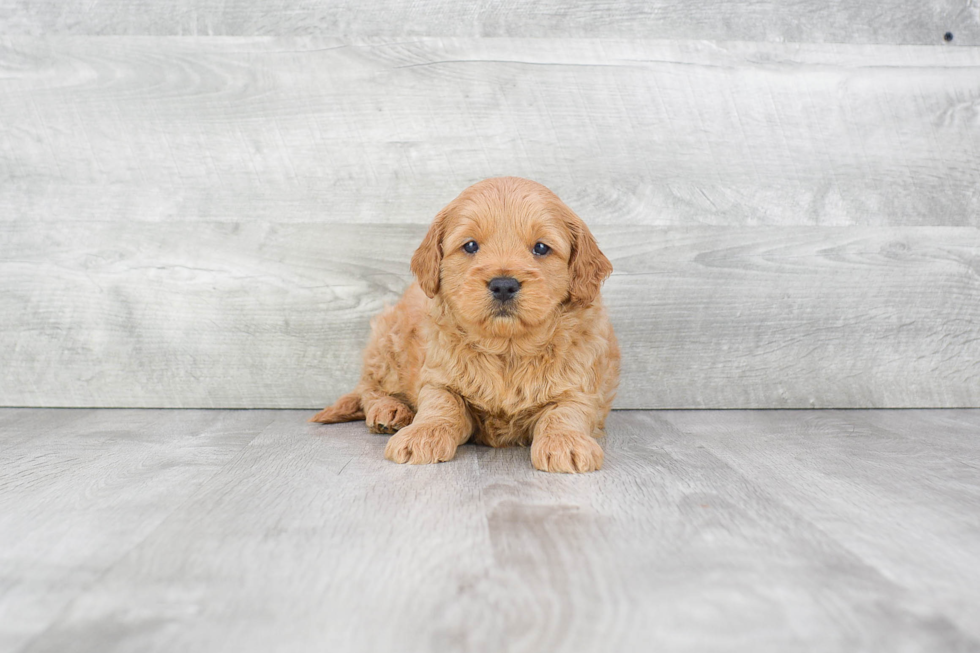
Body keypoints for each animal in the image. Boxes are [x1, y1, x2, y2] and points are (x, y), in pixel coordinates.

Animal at [310, 176, 616, 472]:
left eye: (541, 248)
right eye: (470, 246)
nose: (503, 285)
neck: (507, 349)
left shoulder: (580, 387)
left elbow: (566, 412)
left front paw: (566, 442)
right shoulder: (438, 378)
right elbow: (441, 404)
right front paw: (423, 434)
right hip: (386, 342)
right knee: (369, 389)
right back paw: (389, 411)